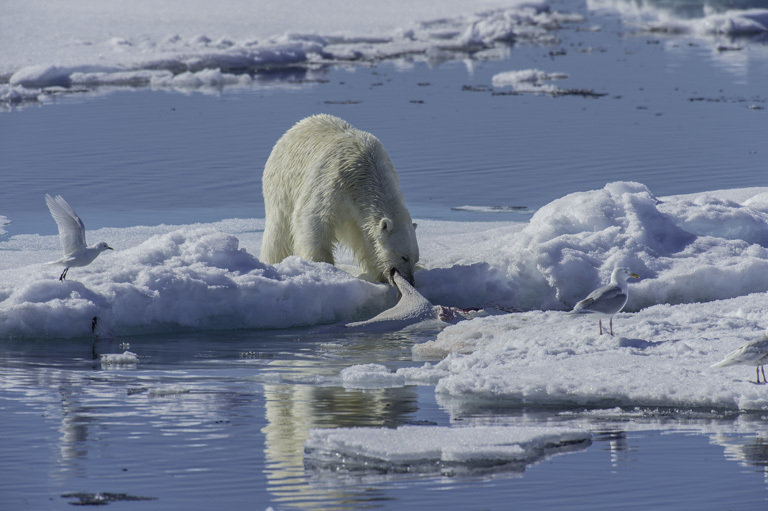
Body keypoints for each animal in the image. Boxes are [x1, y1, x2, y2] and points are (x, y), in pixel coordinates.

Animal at [262, 113, 420, 286]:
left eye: (416, 259)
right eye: (404, 257)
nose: (410, 281)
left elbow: (366, 238)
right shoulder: (334, 183)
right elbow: (312, 219)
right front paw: (323, 265)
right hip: (282, 182)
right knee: (278, 230)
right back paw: (273, 260)